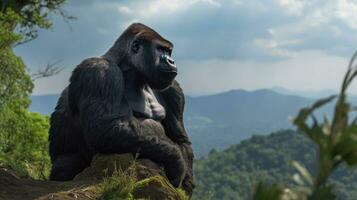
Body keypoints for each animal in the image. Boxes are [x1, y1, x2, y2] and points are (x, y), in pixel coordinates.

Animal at [48, 22, 193, 195]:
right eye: (160, 49)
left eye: (169, 51)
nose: (171, 61)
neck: (131, 71)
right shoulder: (98, 71)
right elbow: (104, 128)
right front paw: (176, 160)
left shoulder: (173, 89)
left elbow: (180, 138)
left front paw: (186, 184)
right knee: (66, 164)